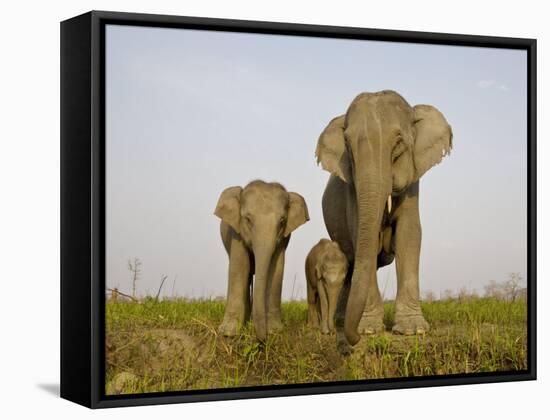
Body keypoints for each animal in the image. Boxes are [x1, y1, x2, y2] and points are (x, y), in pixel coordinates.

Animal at [215, 180, 310, 342]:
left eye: (282, 221)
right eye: (247, 219)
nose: (262, 340)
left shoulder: (283, 238)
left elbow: (276, 268)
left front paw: (274, 331)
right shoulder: (236, 232)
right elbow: (240, 267)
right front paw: (228, 333)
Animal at [316, 91, 454, 352]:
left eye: (399, 142)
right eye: (347, 145)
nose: (353, 341)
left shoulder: (413, 180)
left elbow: (410, 234)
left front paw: (413, 330)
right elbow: (360, 236)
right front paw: (369, 330)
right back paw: (342, 319)